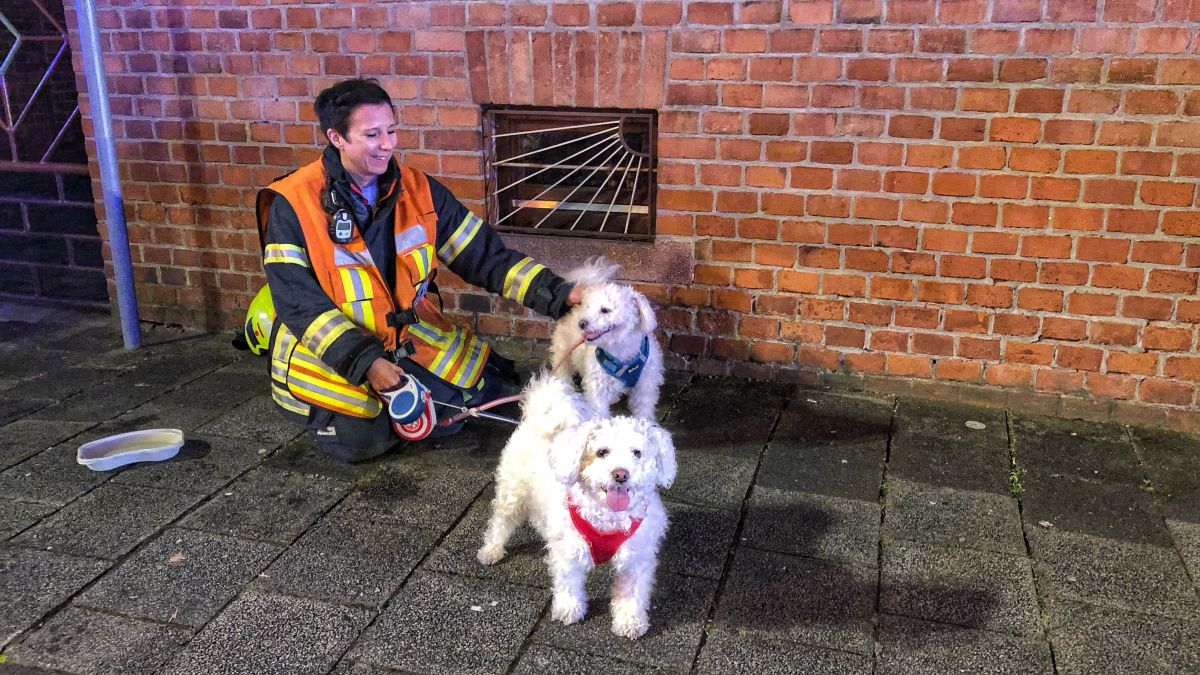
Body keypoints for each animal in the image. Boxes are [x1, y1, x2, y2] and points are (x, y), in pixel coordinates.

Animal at [482, 372, 681, 634]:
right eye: (602, 452)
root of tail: (540, 416)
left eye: (637, 453)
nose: (620, 474)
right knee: (500, 523)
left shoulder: (636, 557)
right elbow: (568, 583)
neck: (609, 517)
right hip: (513, 494)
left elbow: (631, 592)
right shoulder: (569, 551)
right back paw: (491, 550)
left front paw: (629, 620)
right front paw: (569, 609)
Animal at [549, 255, 667, 417]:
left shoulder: (645, 386)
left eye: (605, 310)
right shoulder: (597, 387)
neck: (620, 348)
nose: (581, 323)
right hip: (563, 351)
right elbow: (599, 411)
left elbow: (643, 409)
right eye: (588, 307)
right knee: (563, 371)